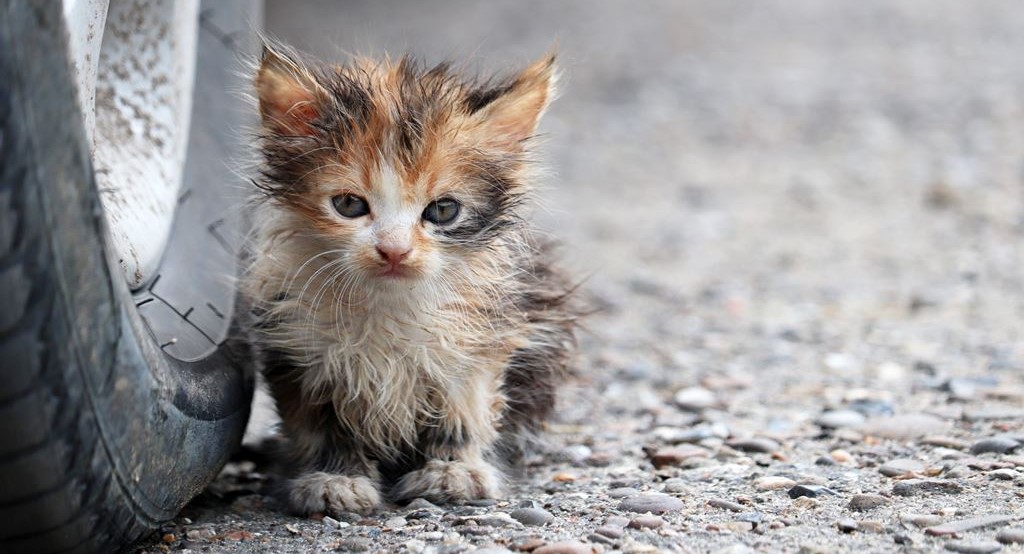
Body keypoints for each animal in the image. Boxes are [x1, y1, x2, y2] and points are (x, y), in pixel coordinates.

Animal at [241, 43, 577, 514]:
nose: (394, 250)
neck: (388, 303)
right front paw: (335, 478)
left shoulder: (482, 339)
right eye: (348, 204)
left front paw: (454, 471)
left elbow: (464, 411)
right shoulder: (298, 346)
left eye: (443, 211)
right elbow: (321, 424)